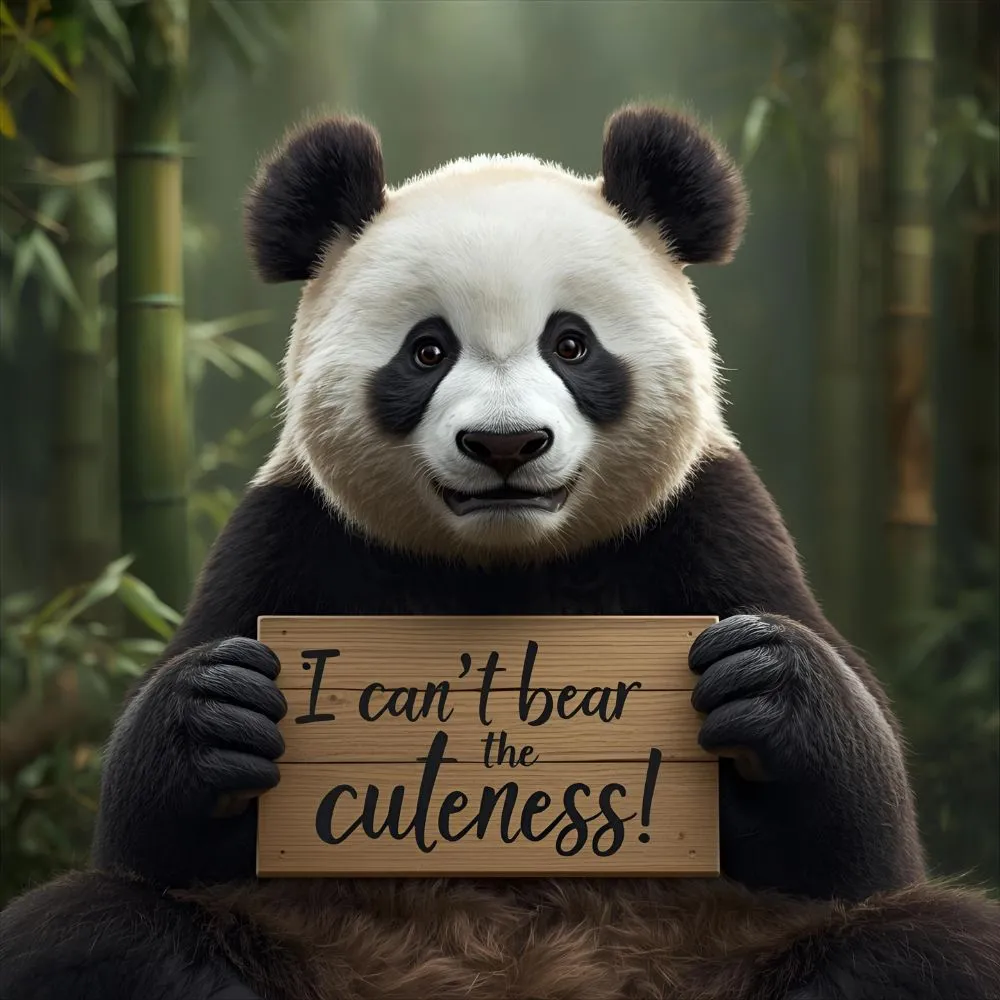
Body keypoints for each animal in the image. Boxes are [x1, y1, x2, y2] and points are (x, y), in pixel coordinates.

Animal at [2, 104, 998, 1000]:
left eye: (572, 342)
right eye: (426, 351)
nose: (507, 445)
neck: (505, 567)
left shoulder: (709, 520)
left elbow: (860, 845)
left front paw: (762, 679)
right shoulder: (288, 533)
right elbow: (149, 840)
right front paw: (222, 708)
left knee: (923, 948)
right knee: (99, 935)